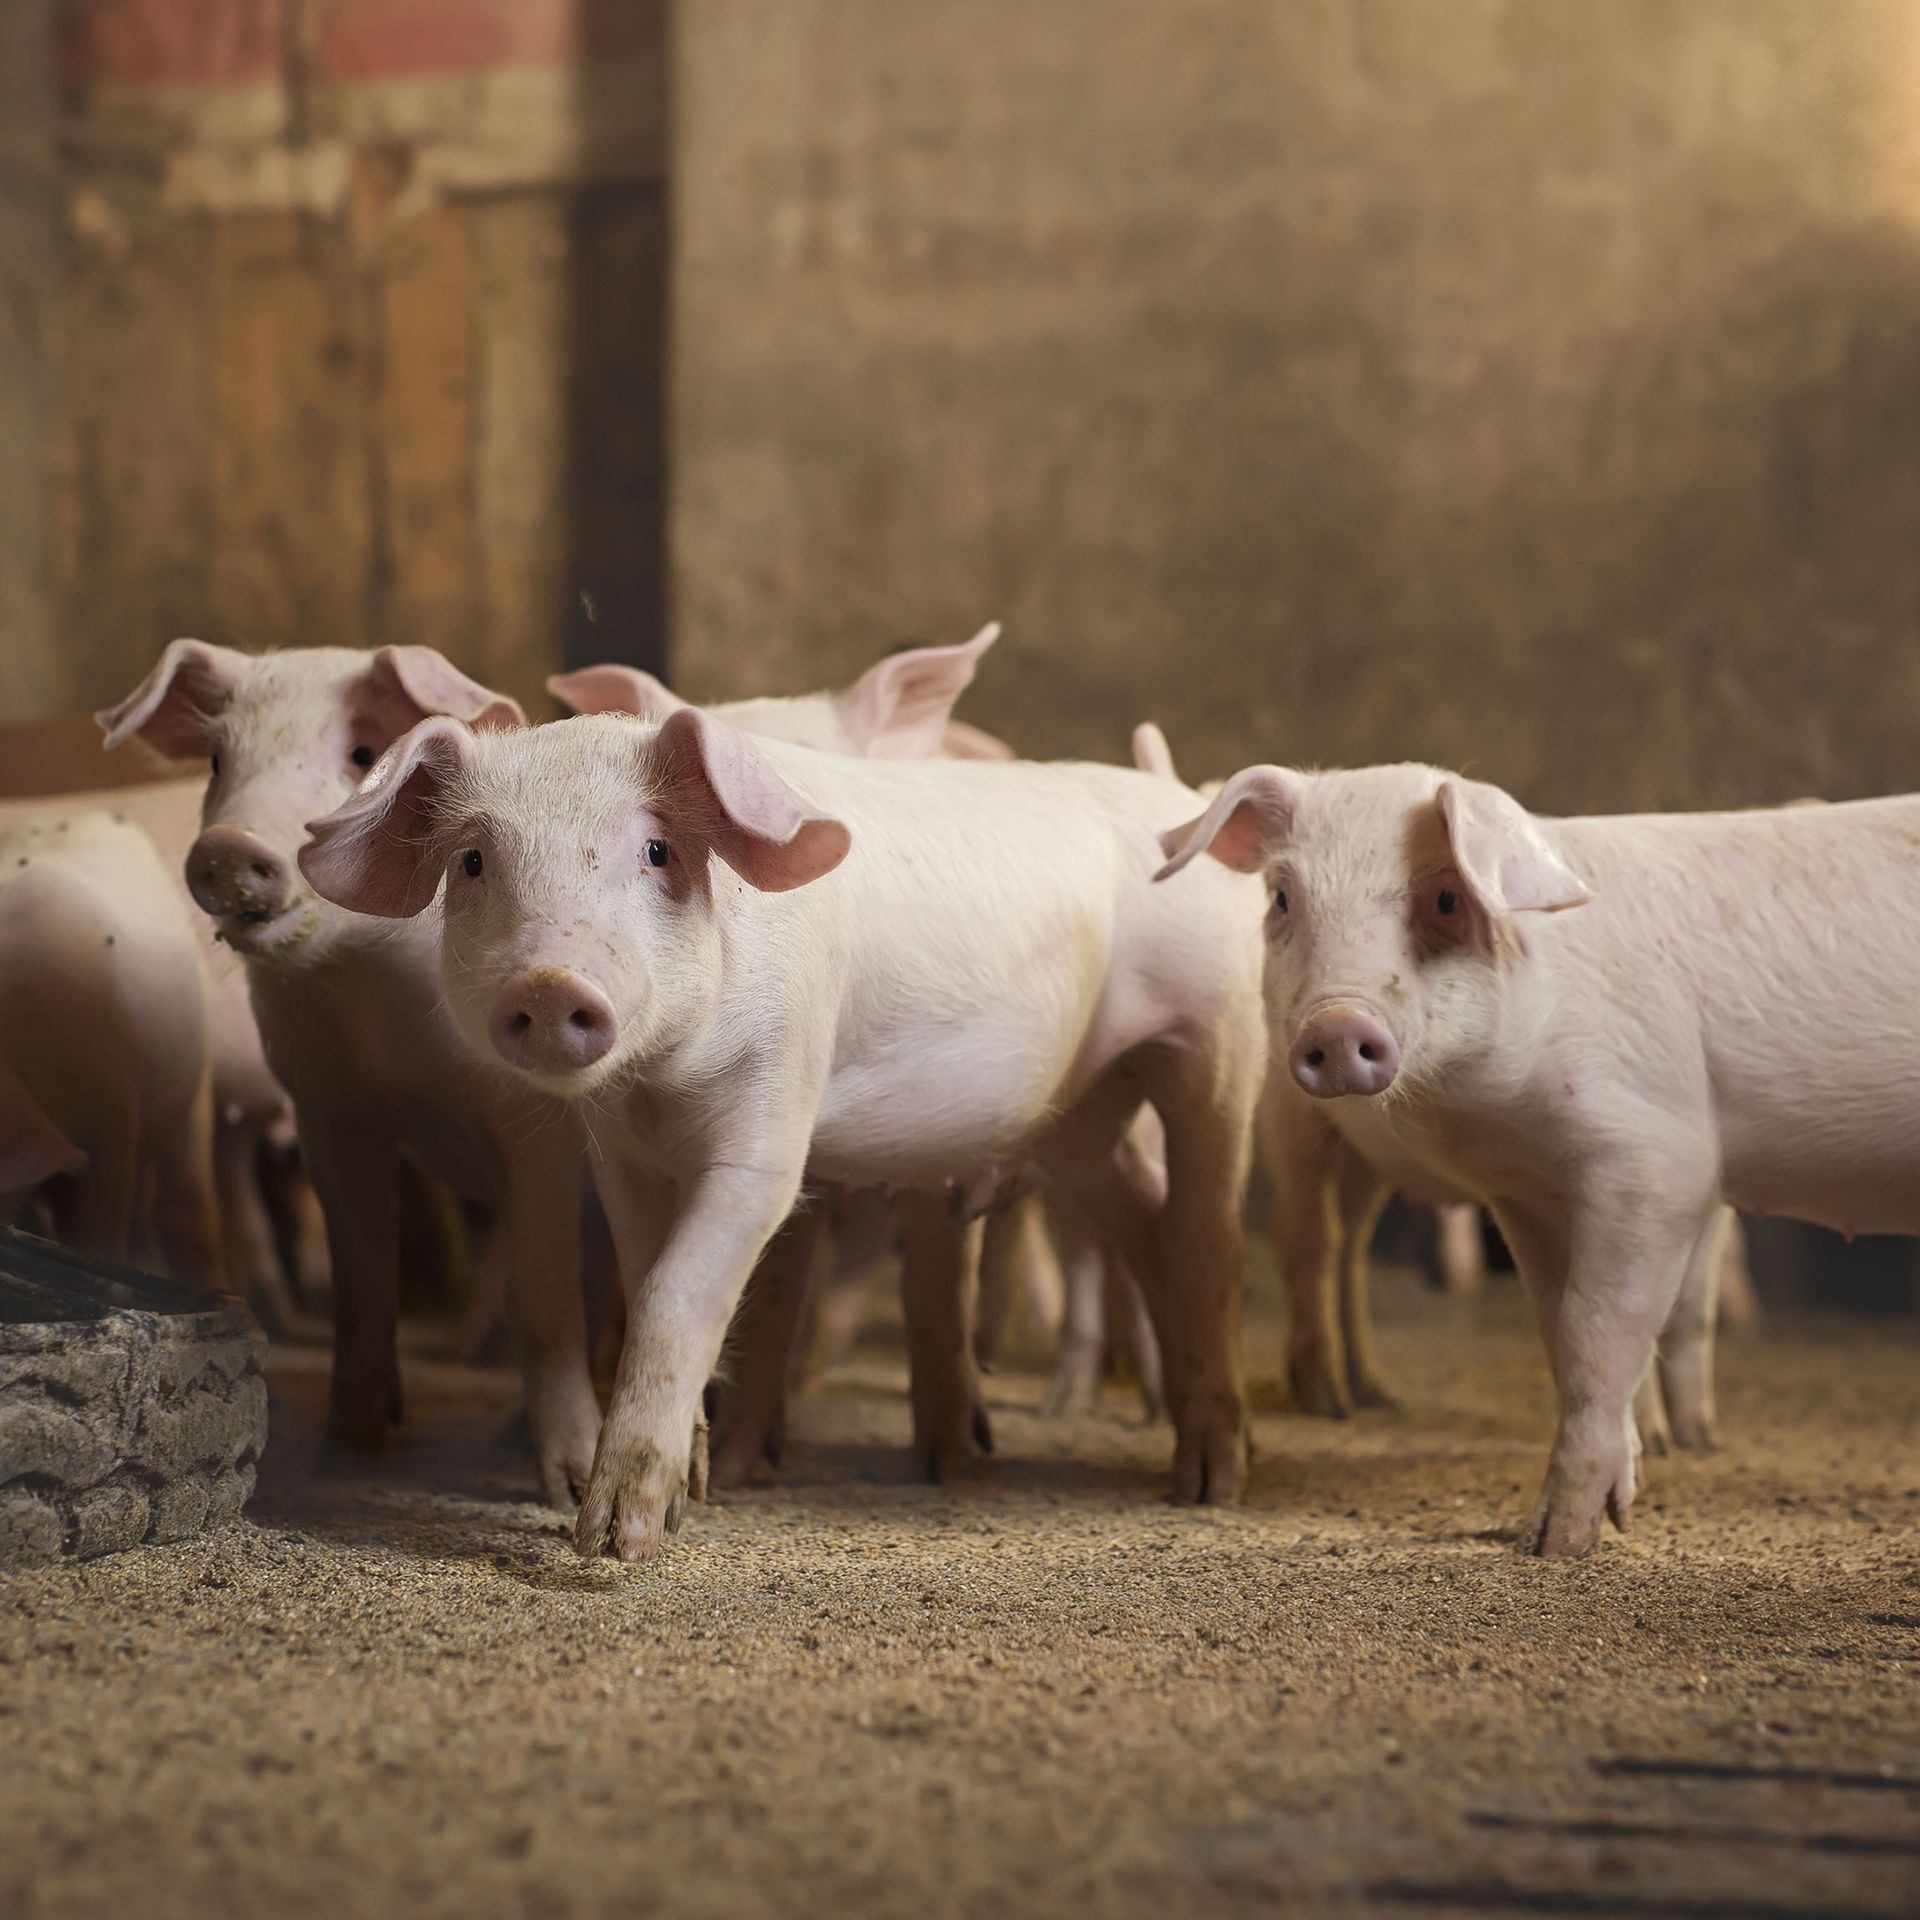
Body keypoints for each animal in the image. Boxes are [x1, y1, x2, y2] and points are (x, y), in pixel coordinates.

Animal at [300, 710, 1267, 1558]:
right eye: (472, 861)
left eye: (657, 850)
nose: (548, 983)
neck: (664, 1084)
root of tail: (1177, 795)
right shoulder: (624, 1156)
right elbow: (644, 1276)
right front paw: (688, 1494)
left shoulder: (772, 1114)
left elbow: (679, 1290)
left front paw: (616, 1542)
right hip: (1083, 1112)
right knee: (1147, 1222)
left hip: (1218, 1033)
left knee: (1208, 1235)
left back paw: (1212, 1484)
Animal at [1155, 761, 1920, 1555]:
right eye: (1282, 897)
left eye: (1446, 896)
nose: (1336, 1026)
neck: (1490, 1114)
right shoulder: (1530, 1191)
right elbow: (1561, 1329)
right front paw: (1583, 1528)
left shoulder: (1659, 1159)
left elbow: (1600, 1326)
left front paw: (1560, 1540)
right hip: (1296, 1124)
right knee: (1314, 1240)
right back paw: (1338, 1402)